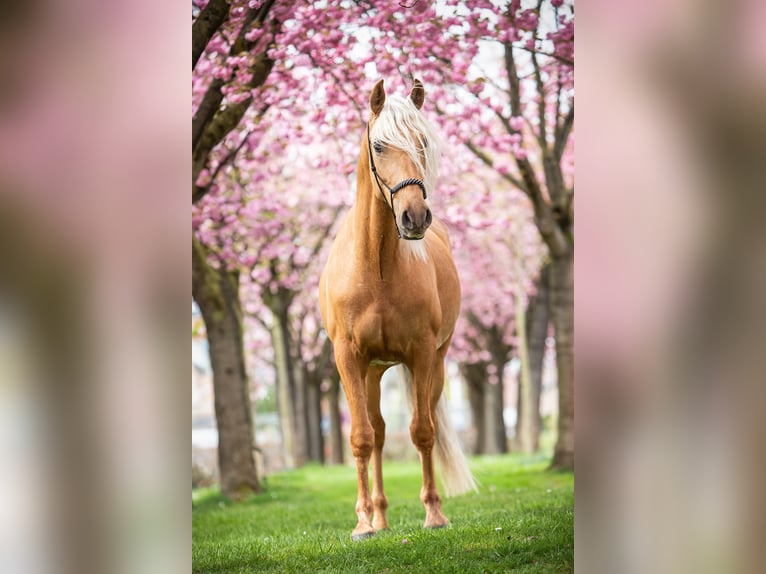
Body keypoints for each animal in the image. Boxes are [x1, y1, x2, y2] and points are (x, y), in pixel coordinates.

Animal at [320, 79, 476, 544]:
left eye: (423, 142)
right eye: (379, 145)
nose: (415, 216)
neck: (377, 268)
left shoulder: (422, 354)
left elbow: (423, 433)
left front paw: (434, 514)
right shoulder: (348, 359)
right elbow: (360, 438)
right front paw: (362, 524)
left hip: (435, 365)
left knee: (414, 427)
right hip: (371, 372)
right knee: (377, 434)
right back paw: (380, 518)